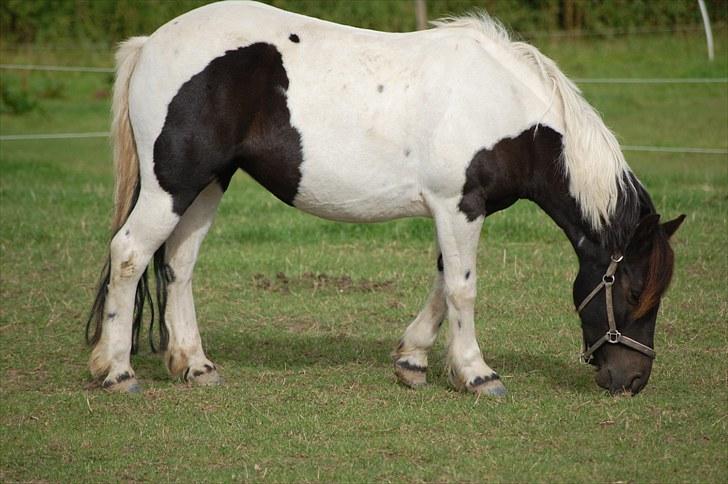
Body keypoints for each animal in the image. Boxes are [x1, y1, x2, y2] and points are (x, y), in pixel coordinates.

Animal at [86, 1, 684, 396]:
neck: (505, 110)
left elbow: (443, 286)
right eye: (633, 290)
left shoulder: (453, 211)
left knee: (179, 264)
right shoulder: (460, 206)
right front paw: (478, 374)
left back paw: (195, 365)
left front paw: (413, 361)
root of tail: (150, 44)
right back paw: (117, 372)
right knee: (129, 254)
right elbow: (463, 290)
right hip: (173, 185)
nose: (631, 380)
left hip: (209, 183)